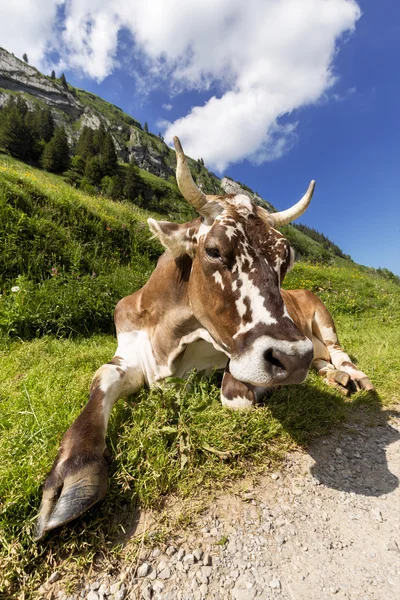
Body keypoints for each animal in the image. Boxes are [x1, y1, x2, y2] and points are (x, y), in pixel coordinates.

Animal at [35, 138, 376, 540]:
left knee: (339, 353)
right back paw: (333, 377)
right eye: (214, 250)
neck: (167, 341)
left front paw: (264, 390)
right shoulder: (128, 352)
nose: (294, 359)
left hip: (323, 319)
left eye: (286, 259)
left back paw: (354, 377)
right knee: (325, 360)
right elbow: (102, 379)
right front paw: (73, 476)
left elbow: (235, 396)